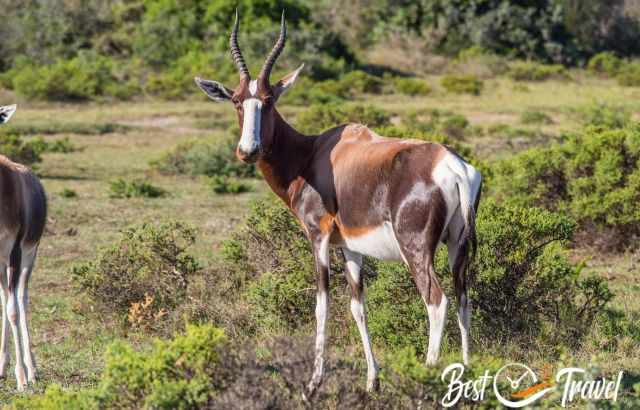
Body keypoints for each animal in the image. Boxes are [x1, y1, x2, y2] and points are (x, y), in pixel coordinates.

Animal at [195, 13, 480, 398]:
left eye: (269, 100)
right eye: (238, 100)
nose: (248, 150)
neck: (313, 154)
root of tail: (452, 166)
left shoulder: (318, 237)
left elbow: (321, 304)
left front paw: (312, 385)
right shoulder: (351, 247)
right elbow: (358, 306)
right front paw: (372, 380)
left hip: (416, 248)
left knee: (437, 301)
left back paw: (426, 377)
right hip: (456, 245)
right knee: (463, 298)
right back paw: (464, 376)